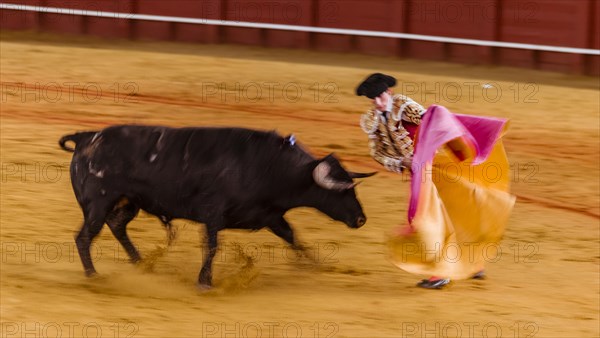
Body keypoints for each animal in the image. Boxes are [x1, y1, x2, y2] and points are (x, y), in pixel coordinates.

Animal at [57, 125, 376, 286]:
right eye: (343, 193)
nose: (361, 219)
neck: (269, 166)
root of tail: (87, 138)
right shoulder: (213, 213)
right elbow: (212, 245)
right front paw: (205, 280)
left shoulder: (271, 215)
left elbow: (292, 236)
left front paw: (315, 265)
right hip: (99, 203)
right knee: (85, 236)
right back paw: (93, 275)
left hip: (130, 202)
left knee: (117, 225)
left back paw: (141, 263)